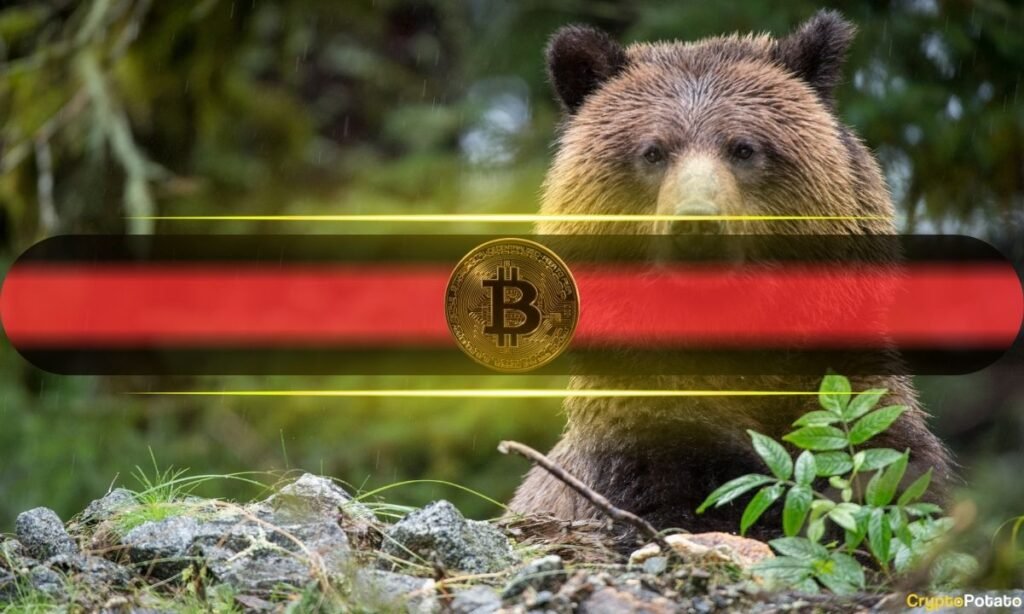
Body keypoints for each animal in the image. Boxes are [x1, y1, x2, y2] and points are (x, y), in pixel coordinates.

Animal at [508, 11, 953, 544]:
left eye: (743, 148)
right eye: (653, 152)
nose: (697, 224)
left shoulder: (846, 386)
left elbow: (894, 473)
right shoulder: (641, 419)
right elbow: (684, 490)